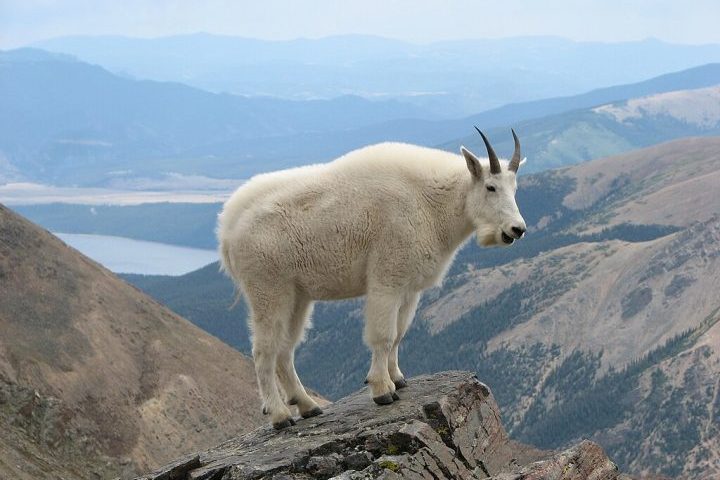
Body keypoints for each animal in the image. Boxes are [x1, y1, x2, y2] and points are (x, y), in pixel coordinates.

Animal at [217, 128, 527, 429]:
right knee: (264, 351)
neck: (433, 201)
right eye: (490, 187)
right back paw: (280, 415)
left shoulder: (409, 288)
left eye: (515, 189)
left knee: (285, 350)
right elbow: (383, 335)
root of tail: (227, 229)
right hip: (268, 289)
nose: (517, 229)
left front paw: (398, 378)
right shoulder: (386, 279)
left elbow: (399, 333)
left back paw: (308, 406)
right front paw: (382, 390)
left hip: (298, 296)